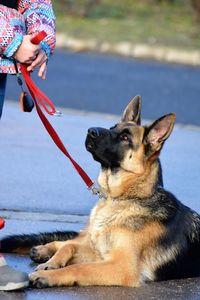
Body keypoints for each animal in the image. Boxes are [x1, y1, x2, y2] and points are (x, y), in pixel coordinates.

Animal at [1, 96, 200, 288]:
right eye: (112, 128)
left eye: (125, 137)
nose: (91, 131)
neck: (120, 198)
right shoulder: (99, 252)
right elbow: (70, 247)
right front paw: (51, 263)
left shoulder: (120, 266)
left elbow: (78, 267)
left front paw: (47, 275)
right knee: (71, 241)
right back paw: (45, 250)